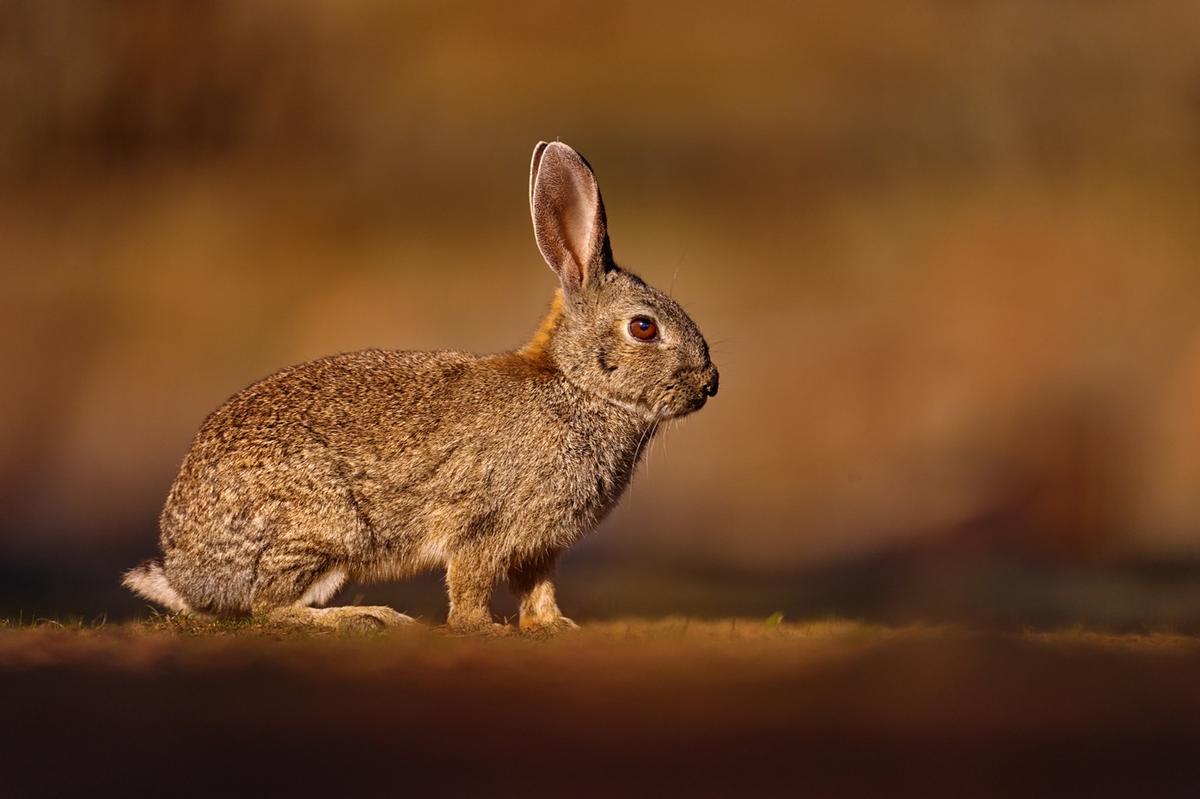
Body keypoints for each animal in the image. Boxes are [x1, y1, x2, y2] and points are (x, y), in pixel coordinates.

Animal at [123, 141, 719, 634]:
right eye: (644, 327)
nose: (710, 384)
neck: (577, 387)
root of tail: (186, 574)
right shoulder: (485, 525)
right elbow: (471, 583)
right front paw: (483, 629)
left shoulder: (540, 546)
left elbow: (538, 589)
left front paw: (553, 627)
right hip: (323, 526)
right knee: (269, 607)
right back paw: (369, 617)